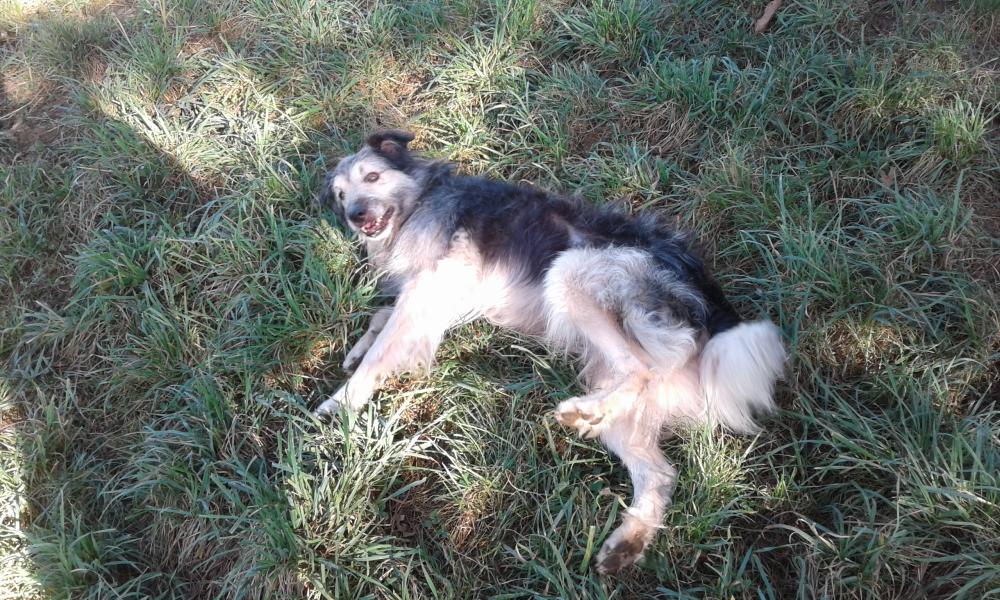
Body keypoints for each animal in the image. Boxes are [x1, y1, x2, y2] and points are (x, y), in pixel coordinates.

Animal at [316, 129, 784, 576]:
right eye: (339, 195)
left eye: (372, 177)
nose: (356, 216)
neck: (418, 202)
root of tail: (708, 303)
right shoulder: (431, 297)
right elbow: (382, 318)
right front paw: (356, 351)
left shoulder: (430, 286)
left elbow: (384, 345)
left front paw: (341, 403)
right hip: (616, 391)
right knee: (659, 472)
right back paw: (626, 542)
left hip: (569, 271)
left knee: (638, 369)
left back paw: (583, 413)